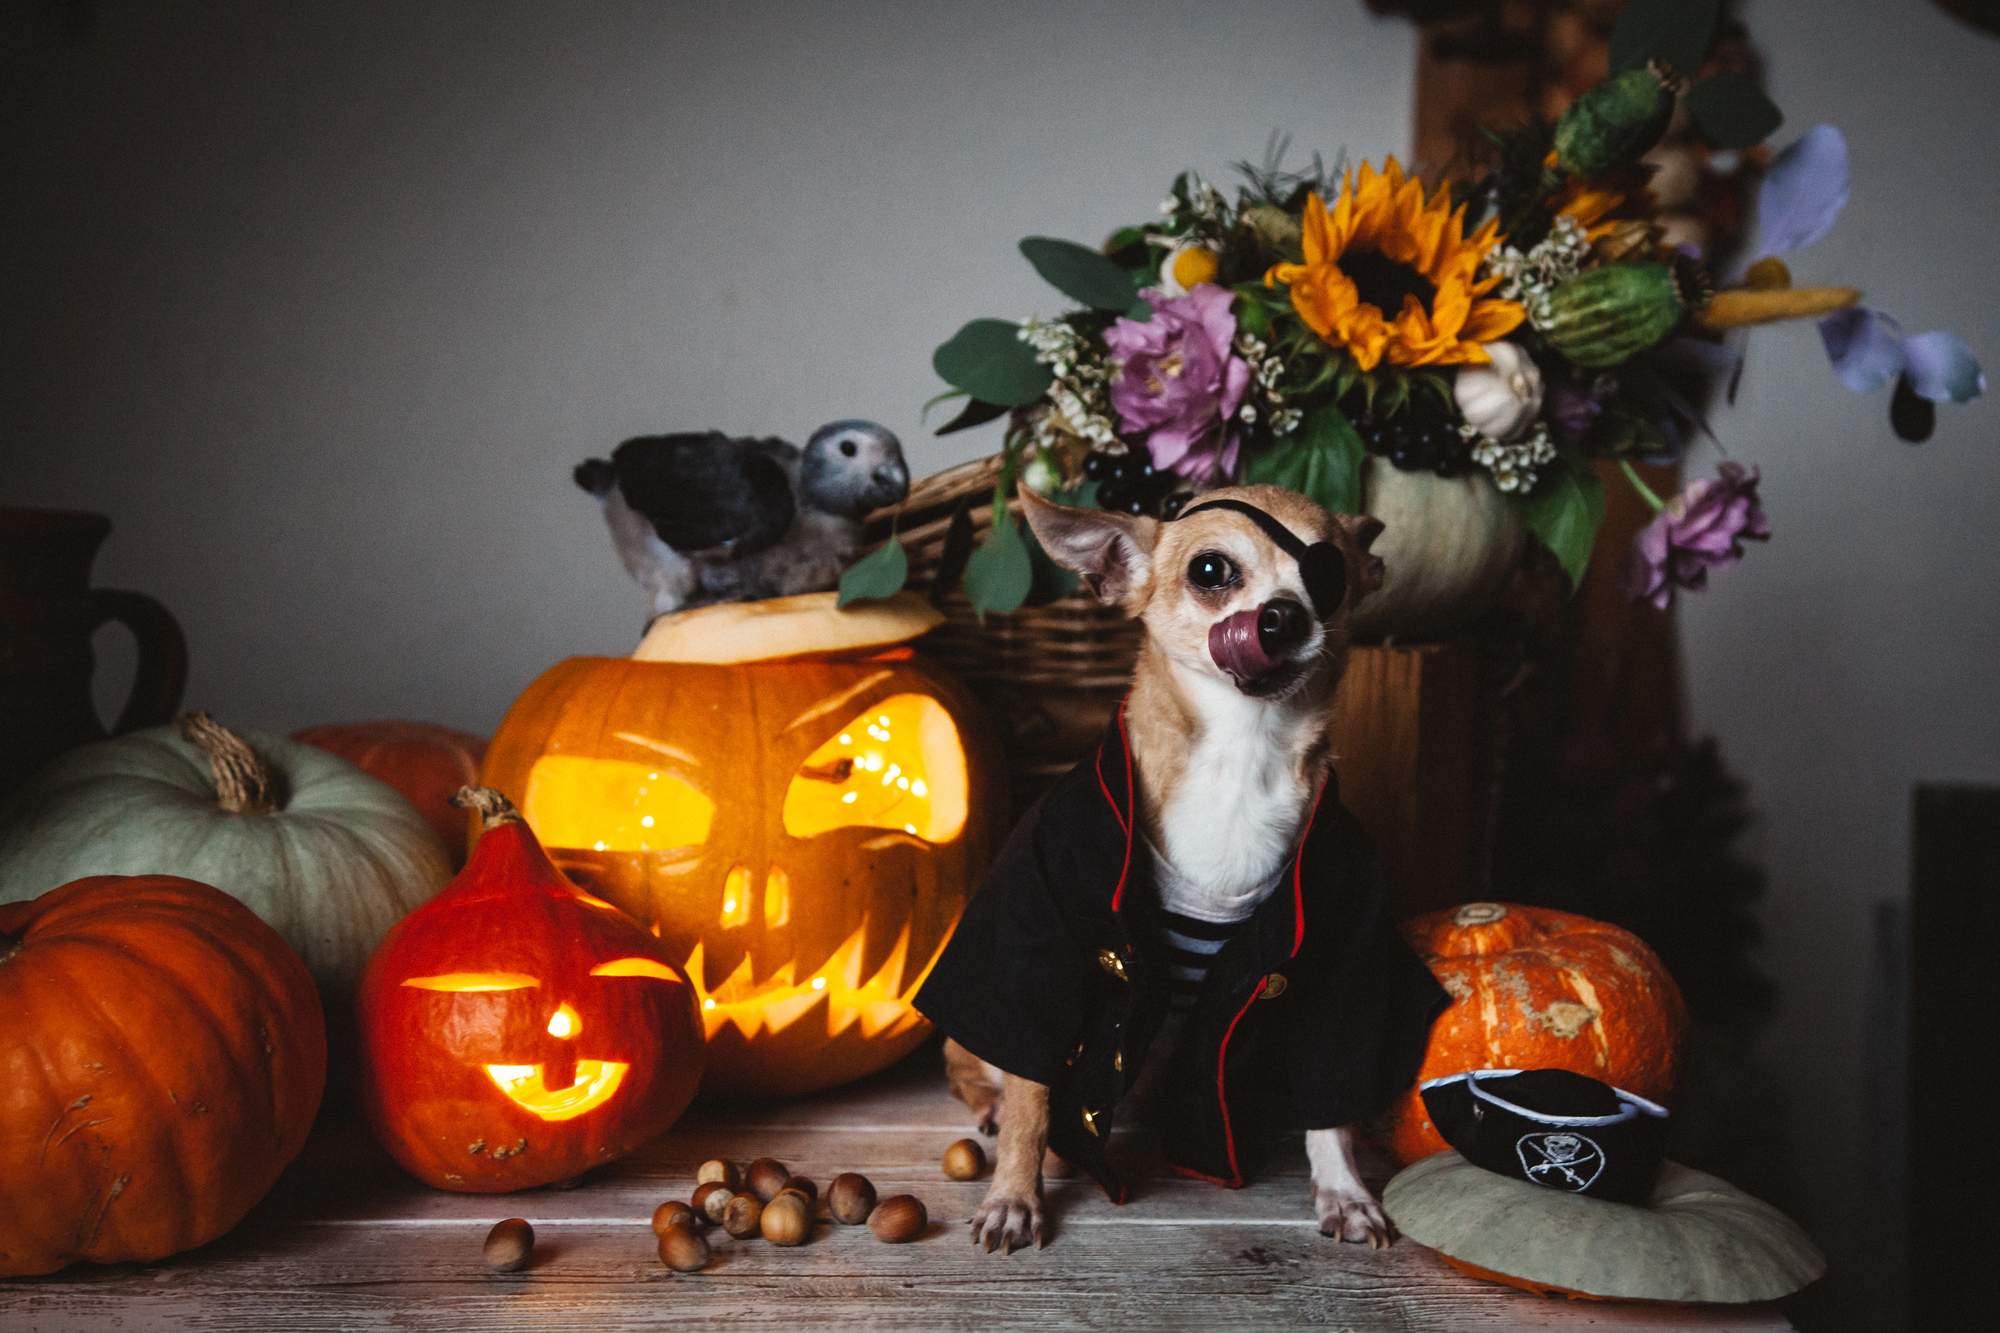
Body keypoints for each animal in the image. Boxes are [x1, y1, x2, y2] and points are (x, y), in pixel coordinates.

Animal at [932, 482, 1416, 1248]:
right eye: (1210, 571)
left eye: (1331, 574)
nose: (1283, 613)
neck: (1240, 758)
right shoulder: (1046, 942)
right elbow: (1032, 1091)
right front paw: (1014, 1192)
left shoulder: (1343, 955)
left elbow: (1332, 1097)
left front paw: (1344, 1189)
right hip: (978, 1037)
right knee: (982, 1070)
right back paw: (992, 1107)